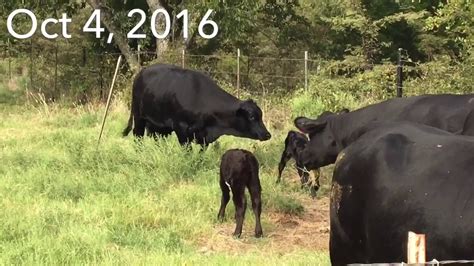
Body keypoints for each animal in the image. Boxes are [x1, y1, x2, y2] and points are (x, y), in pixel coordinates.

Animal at [122, 64, 270, 145]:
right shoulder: (181, 128)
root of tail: (141, 73)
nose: (268, 134)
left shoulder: (204, 136)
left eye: (261, 116)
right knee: (138, 136)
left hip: (158, 125)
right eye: (251, 117)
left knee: (157, 138)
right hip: (139, 116)